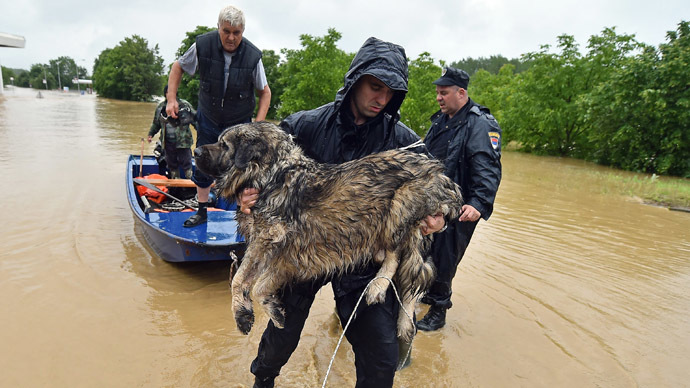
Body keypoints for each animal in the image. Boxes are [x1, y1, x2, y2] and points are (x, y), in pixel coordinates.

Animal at [194, 122, 462, 342]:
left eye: (224, 144)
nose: (195, 152)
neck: (269, 175)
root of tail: (442, 175)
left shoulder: (269, 237)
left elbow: (239, 279)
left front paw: (241, 315)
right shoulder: (284, 255)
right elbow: (259, 286)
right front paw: (273, 310)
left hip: (399, 205)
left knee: (398, 258)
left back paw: (378, 286)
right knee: (412, 271)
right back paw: (404, 321)